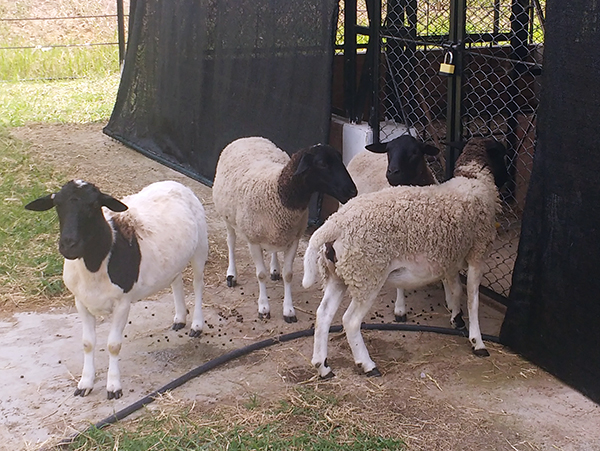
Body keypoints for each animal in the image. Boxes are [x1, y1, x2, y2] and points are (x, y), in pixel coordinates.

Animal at [24, 180, 209, 400]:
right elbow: (87, 343)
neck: (96, 264)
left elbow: (113, 346)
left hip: (200, 247)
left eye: (94, 206)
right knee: (176, 279)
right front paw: (85, 383)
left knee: (198, 284)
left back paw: (196, 325)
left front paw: (113, 387)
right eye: (58, 205)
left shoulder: (122, 303)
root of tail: (176, 183)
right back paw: (180, 318)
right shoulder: (81, 302)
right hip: (174, 259)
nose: (69, 246)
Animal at [213, 136, 358, 324]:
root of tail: (248, 137)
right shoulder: (253, 240)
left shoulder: (293, 238)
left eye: (340, 159)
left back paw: (274, 269)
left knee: (273, 250)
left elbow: (288, 274)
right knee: (231, 241)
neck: (277, 191)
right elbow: (260, 274)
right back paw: (231, 274)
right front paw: (264, 308)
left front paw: (289, 311)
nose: (352, 191)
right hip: (228, 217)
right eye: (322, 164)